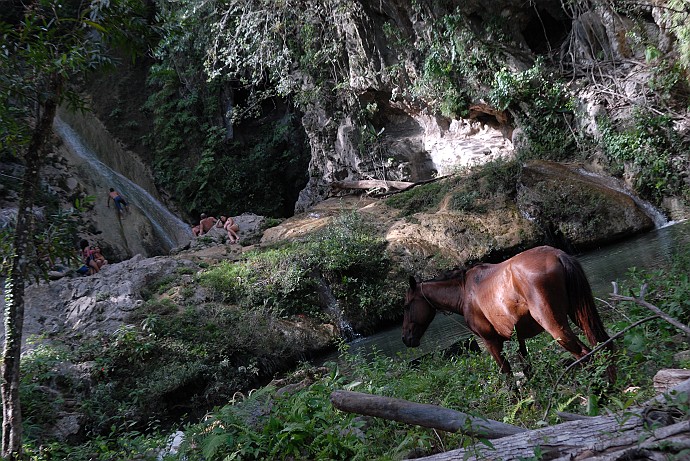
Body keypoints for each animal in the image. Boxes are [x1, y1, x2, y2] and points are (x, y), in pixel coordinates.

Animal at [400, 246, 616, 382]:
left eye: (407, 306)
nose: (406, 338)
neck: (465, 292)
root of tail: (557, 254)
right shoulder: (517, 338)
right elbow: (527, 369)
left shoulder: (491, 342)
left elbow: (508, 377)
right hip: (579, 315)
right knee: (603, 345)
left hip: (556, 326)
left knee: (585, 354)